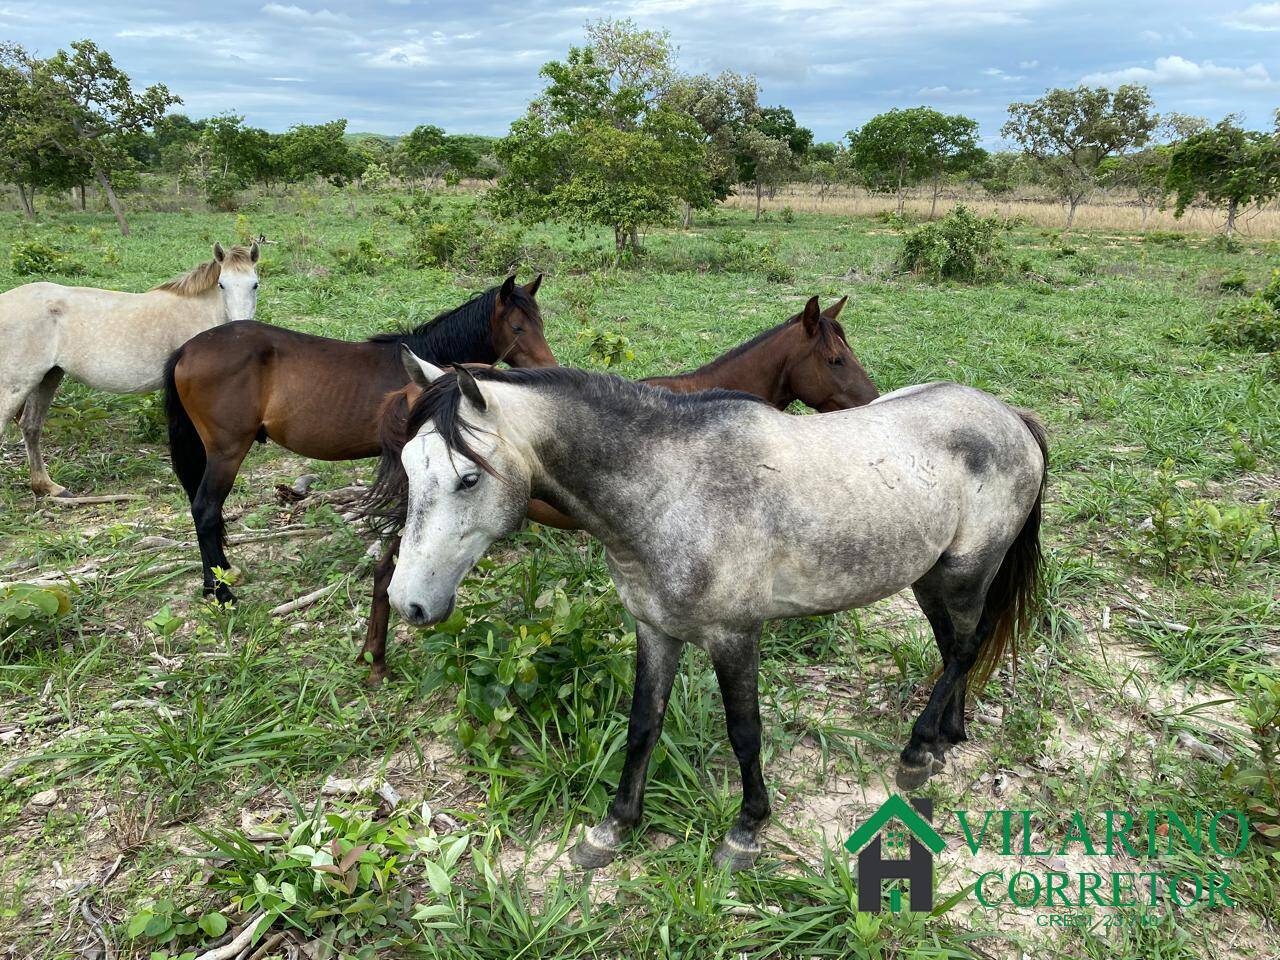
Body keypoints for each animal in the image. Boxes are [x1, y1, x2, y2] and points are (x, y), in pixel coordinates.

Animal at [0, 241, 262, 496]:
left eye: (254, 285)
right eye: (222, 285)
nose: (241, 325)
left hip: (47, 378)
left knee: (31, 427)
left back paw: (48, 487)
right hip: (17, 384)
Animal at [165, 273, 555, 601]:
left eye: (541, 323)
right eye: (518, 327)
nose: (547, 369)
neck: (427, 368)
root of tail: (187, 349)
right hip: (226, 452)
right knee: (205, 510)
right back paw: (220, 591)